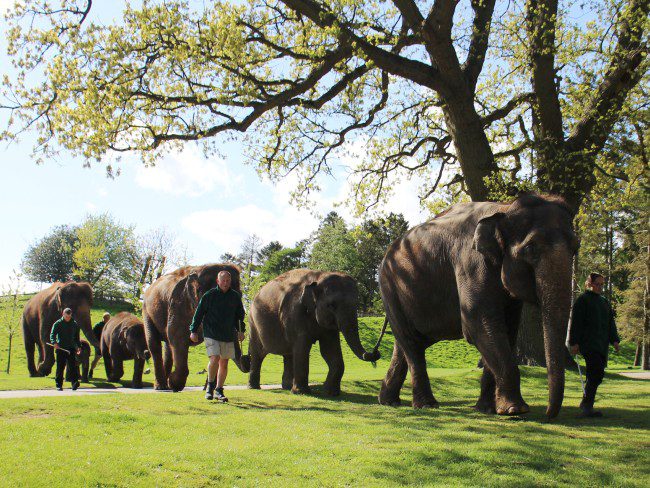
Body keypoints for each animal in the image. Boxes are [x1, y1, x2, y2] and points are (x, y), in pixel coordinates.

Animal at [142, 264, 246, 392]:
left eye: (240, 296)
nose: (247, 359)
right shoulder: (179, 304)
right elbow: (177, 338)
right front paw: (174, 384)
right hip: (146, 311)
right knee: (154, 344)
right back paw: (161, 387)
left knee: (167, 346)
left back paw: (165, 385)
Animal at [246, 268, 382, 394]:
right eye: (331, 305)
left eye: (357, 304)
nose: (376, 352)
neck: (319, 276)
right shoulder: (294, 313)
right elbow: (302, 349)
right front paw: (302, 392)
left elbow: (330, 351)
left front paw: (330, 393)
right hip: (253, 323)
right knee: (258, 353)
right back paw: (254, 387)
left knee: (288, 354)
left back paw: (287, 387)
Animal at [378, 193, 576, 418]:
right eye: (530, 248)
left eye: (576, 247)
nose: (549, 413)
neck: (505, 208)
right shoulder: (471, 262)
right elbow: (478, 324)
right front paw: (515, 409)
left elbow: (506, 330)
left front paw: (488, 409)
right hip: (390, 290)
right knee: (411, 343)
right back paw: (426, 405)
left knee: (405, 344)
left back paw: (389, 401)